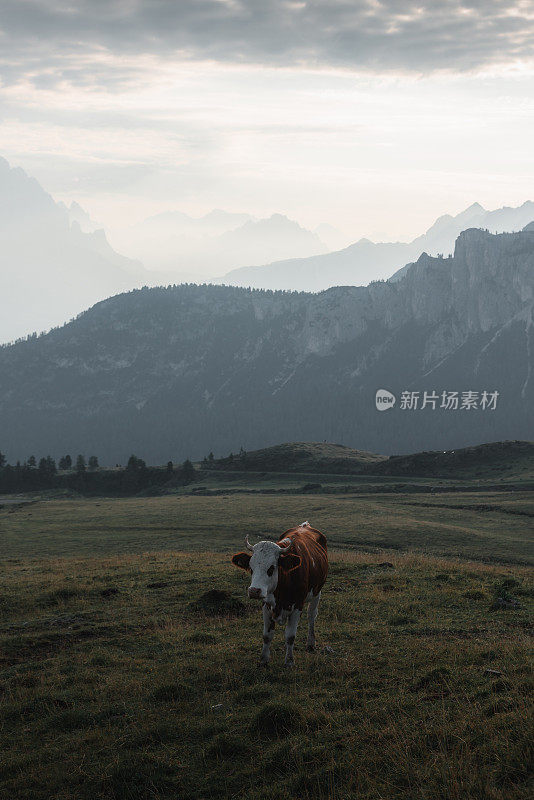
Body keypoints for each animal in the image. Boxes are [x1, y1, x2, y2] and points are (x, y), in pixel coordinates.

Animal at [232, 520, 328, 664]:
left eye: (271, 568)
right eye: (250, 567)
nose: (254, 591)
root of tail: (305, 525)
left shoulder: (297, 606)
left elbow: (290, 636)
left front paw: (289, 661)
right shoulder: (266, 605)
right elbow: (267, 636)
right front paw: (264, 660)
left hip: (317, 591)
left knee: (312, 615)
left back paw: (311, 644)